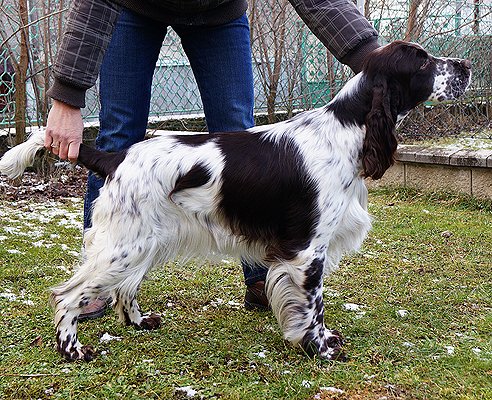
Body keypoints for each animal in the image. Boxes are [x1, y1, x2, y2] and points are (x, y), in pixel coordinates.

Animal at [0, 41, 470, 362]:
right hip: (123, 244)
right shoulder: (307, 250)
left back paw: (139, 322)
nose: (465, 65)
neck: (348, 127)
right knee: (68, 296)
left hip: (144, 241)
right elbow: (312, 306)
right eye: (423, 62)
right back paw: (73, 350)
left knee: (124, 290)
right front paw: (321, 348)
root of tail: (117, 156)